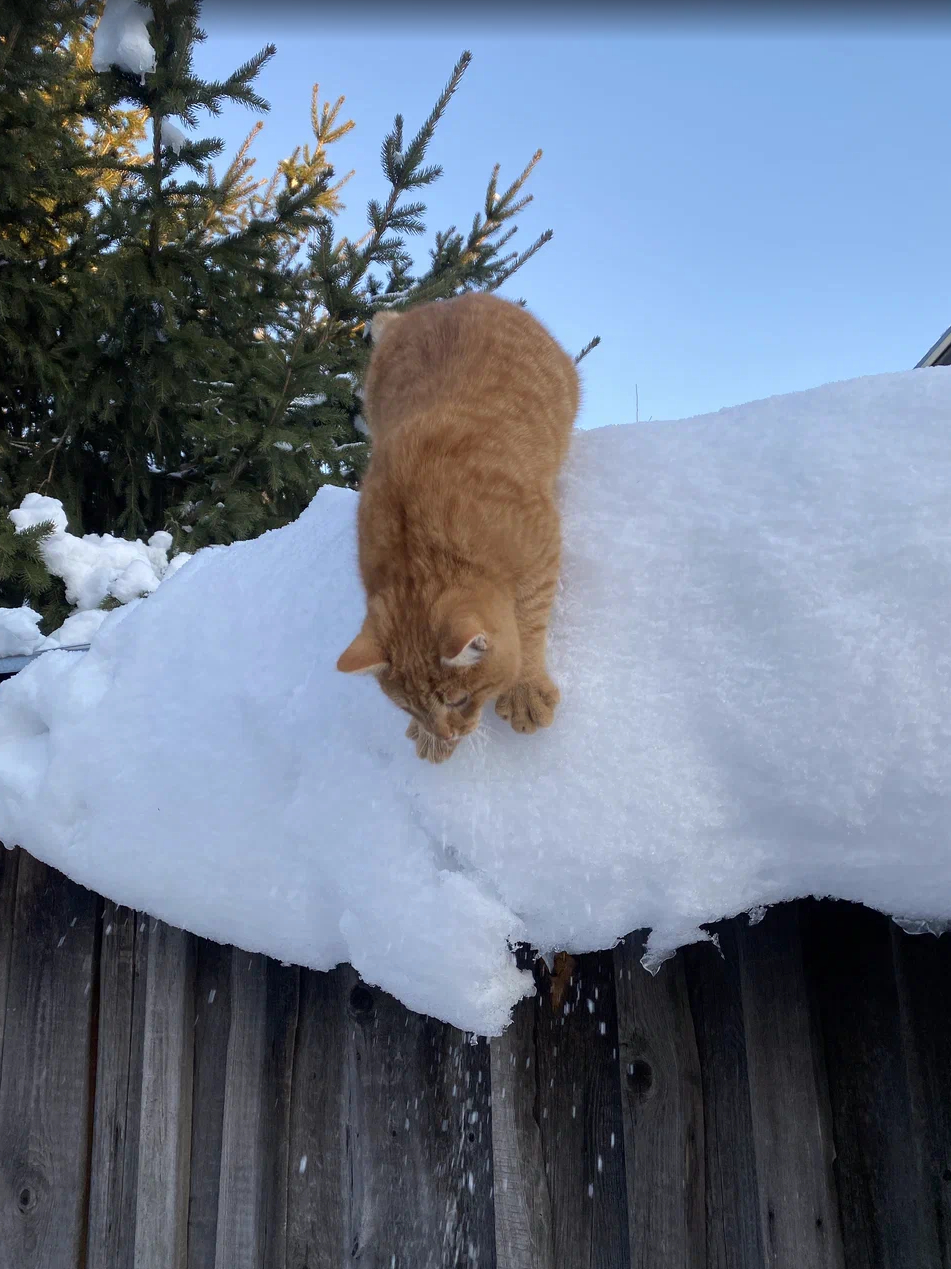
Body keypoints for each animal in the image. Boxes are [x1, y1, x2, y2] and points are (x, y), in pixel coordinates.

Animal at [337, 290, 581, 756]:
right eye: (409, 709)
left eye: (460, 699)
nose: (447, 733)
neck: (419, 544)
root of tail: (444, 300)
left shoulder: (540, 552)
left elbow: (529, 621)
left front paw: (524, 690)